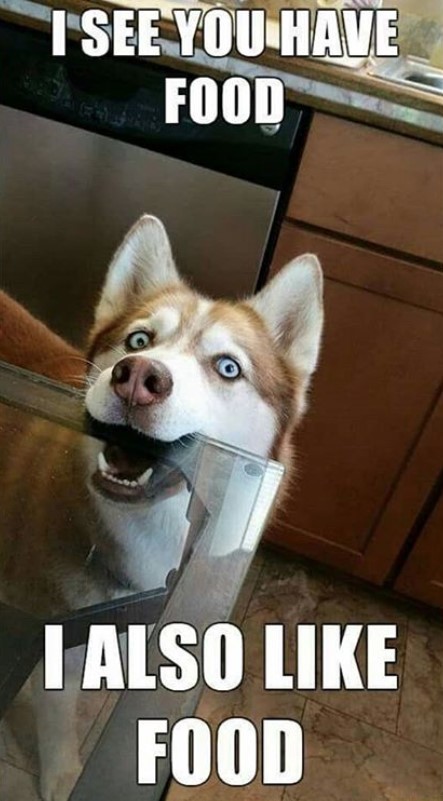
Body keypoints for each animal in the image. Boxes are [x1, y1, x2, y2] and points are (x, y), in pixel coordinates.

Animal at [0, 214, 322, 800]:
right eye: (139, 339)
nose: (138, 378)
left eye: (228, 367)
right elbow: (57, 715)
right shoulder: (63, 645)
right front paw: (62, 773)